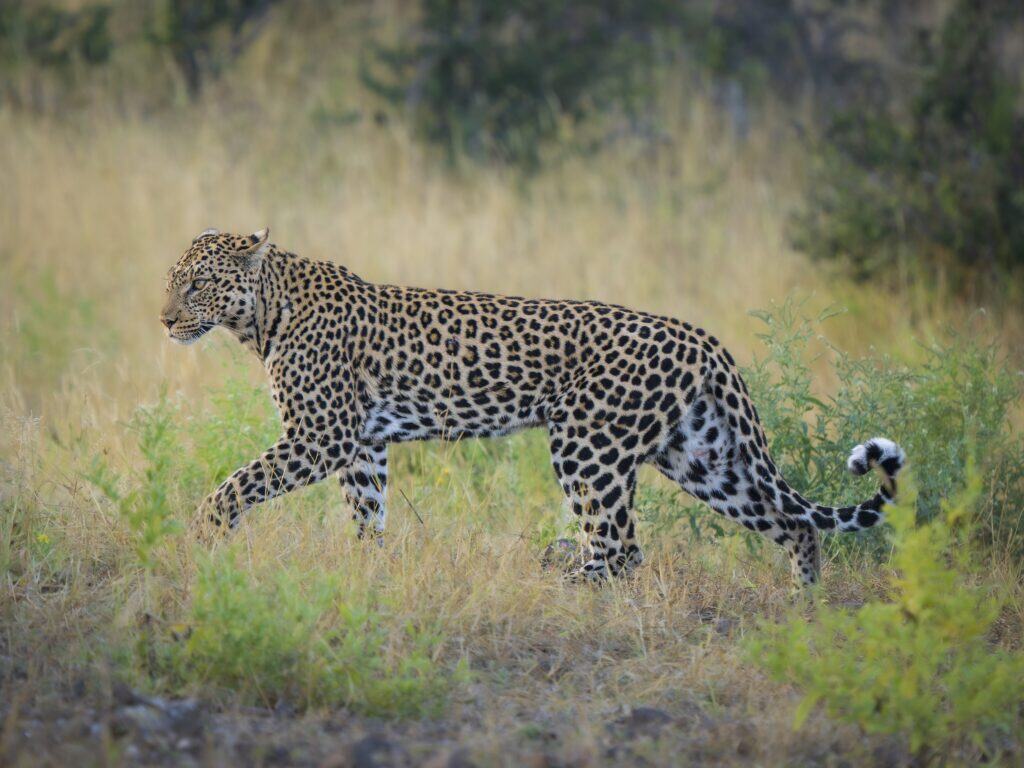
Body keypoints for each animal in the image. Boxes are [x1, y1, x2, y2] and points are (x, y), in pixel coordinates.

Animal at [160, 228, 906, 586]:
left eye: (197, 284)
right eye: (173, 281)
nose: (164, 319)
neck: (261, 315)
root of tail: (702, 337)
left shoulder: (321, 437)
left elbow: (235, 484)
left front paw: (198, 537)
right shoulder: (363, 445)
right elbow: (367, 514)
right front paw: (367, 574)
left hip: (587, 446)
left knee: (620, 548)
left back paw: (560, 578)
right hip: (703, 456)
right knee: (795, 525)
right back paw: (804, 609)